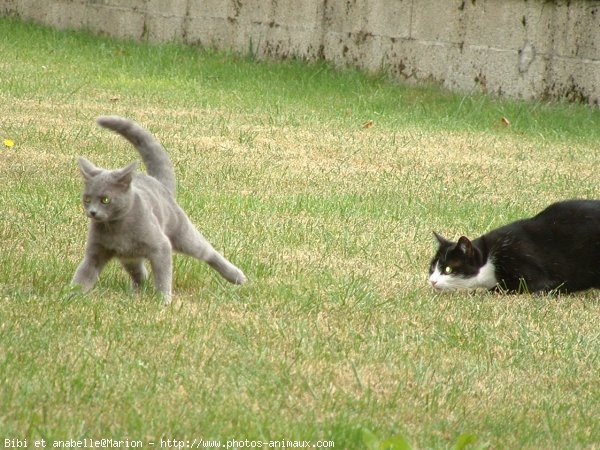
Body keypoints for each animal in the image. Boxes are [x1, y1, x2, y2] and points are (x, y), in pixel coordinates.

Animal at [72, 116, 246, 306]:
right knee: (140, 273)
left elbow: (163, 276)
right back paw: (136, 294)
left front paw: (163, 300)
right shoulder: (95, 252)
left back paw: (236, 276)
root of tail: (159, 183)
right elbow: (83, 275)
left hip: (181, 232)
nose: (92, 212)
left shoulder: (160, 246)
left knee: (207, 251)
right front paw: (69, 295)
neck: (116, 228)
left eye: (105, 200)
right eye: (87, 199)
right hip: (129, 257)